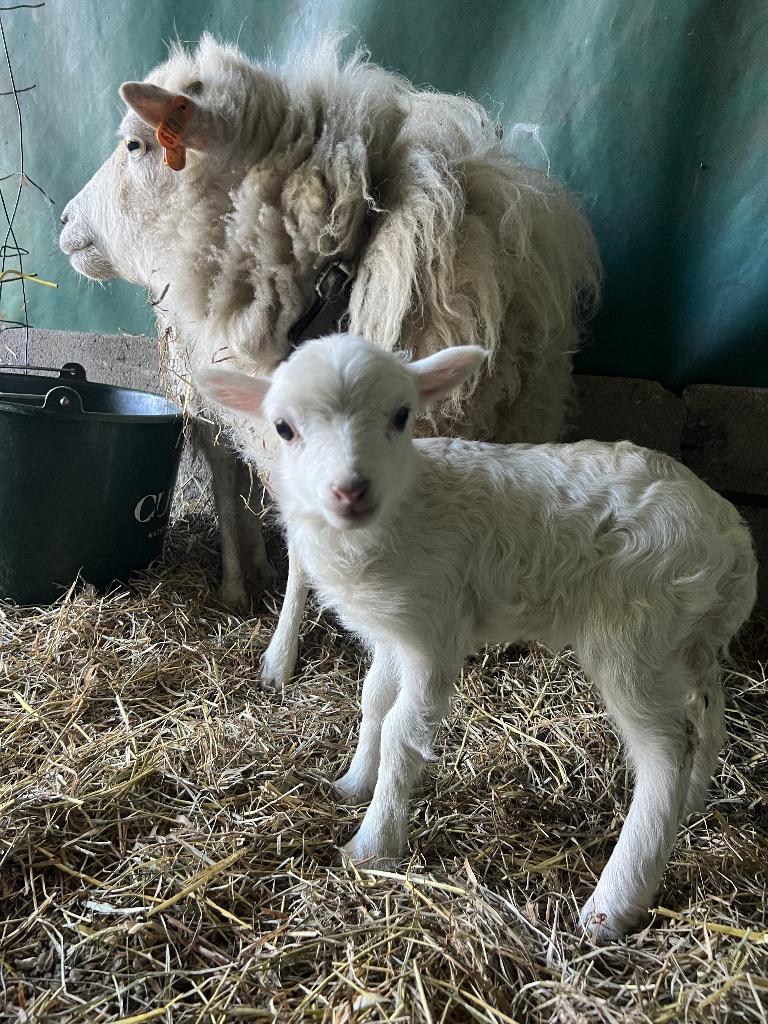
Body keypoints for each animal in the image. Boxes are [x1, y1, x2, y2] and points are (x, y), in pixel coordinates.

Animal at [194, 332, 757, 940]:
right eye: (283, 428)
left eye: (401, 415)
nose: (351, 490)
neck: (402, 513)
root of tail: (731, 537)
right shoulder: (397, 629)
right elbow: (373, 701)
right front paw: (353, 782)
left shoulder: (436, 626)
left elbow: (401, 730)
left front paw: (372, 845)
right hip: (687, 636)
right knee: (707, 713)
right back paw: (692, 804)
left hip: (632, 630)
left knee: (666, 753)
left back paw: (612, 905)